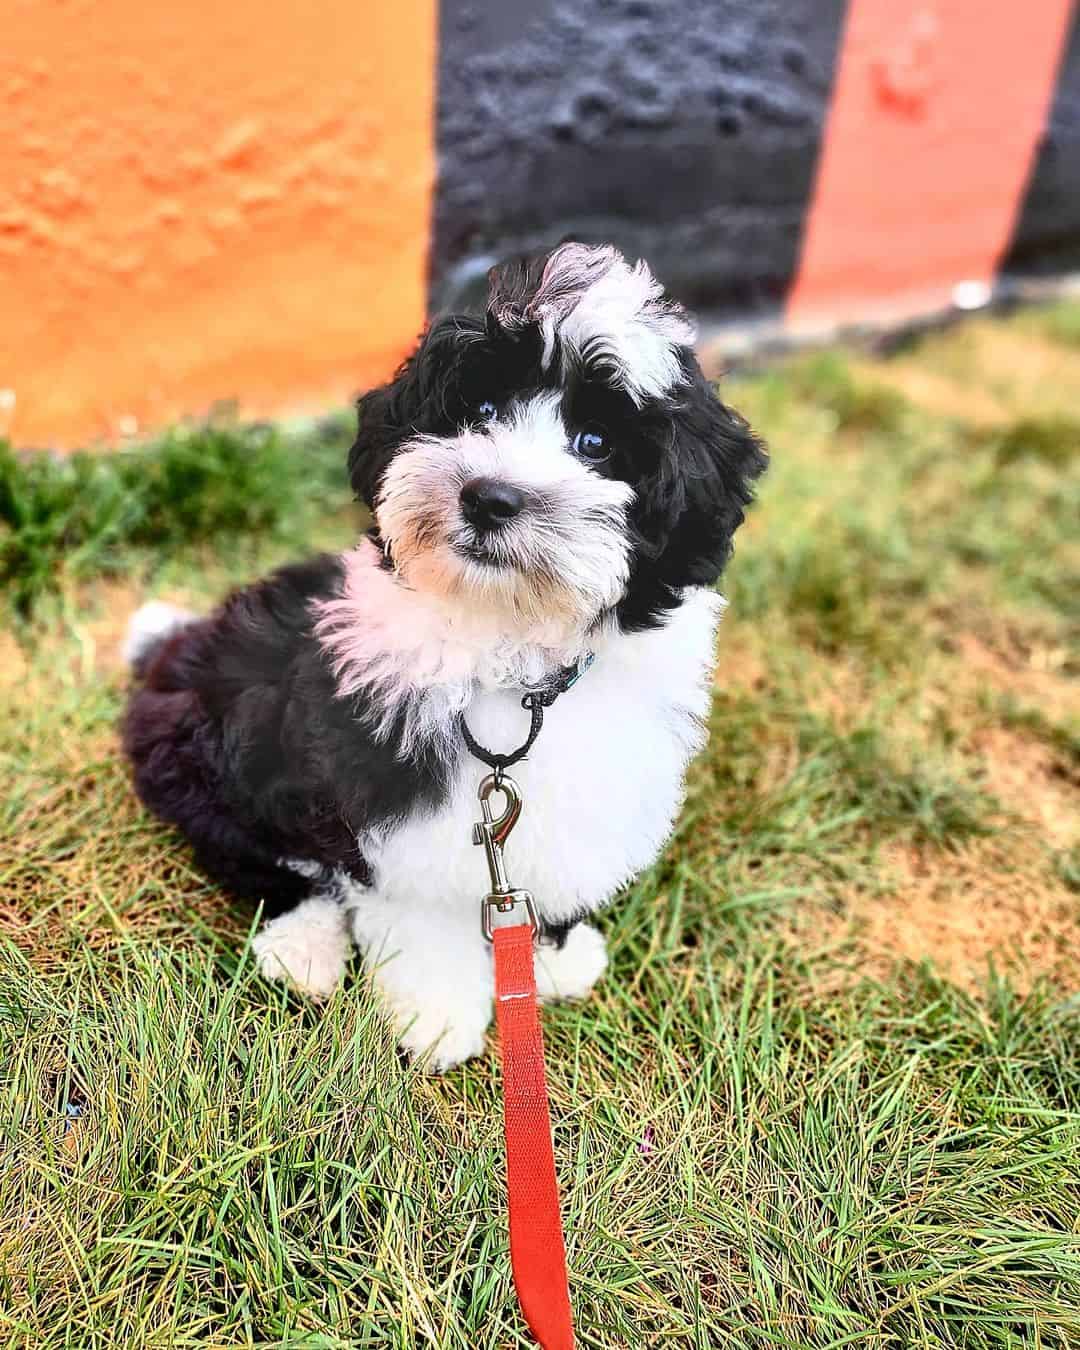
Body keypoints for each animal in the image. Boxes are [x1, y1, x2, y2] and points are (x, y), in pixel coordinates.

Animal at [124, 240, 766, 1063]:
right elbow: (420, 910)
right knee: (266, 857)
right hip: (214, 746)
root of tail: (173, 648)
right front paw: (436, 1016)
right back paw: (303, 948)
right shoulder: (393, 799)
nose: (489, 496)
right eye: (480, 411)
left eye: (596, 443)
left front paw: (552, 956)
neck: (511, 654)